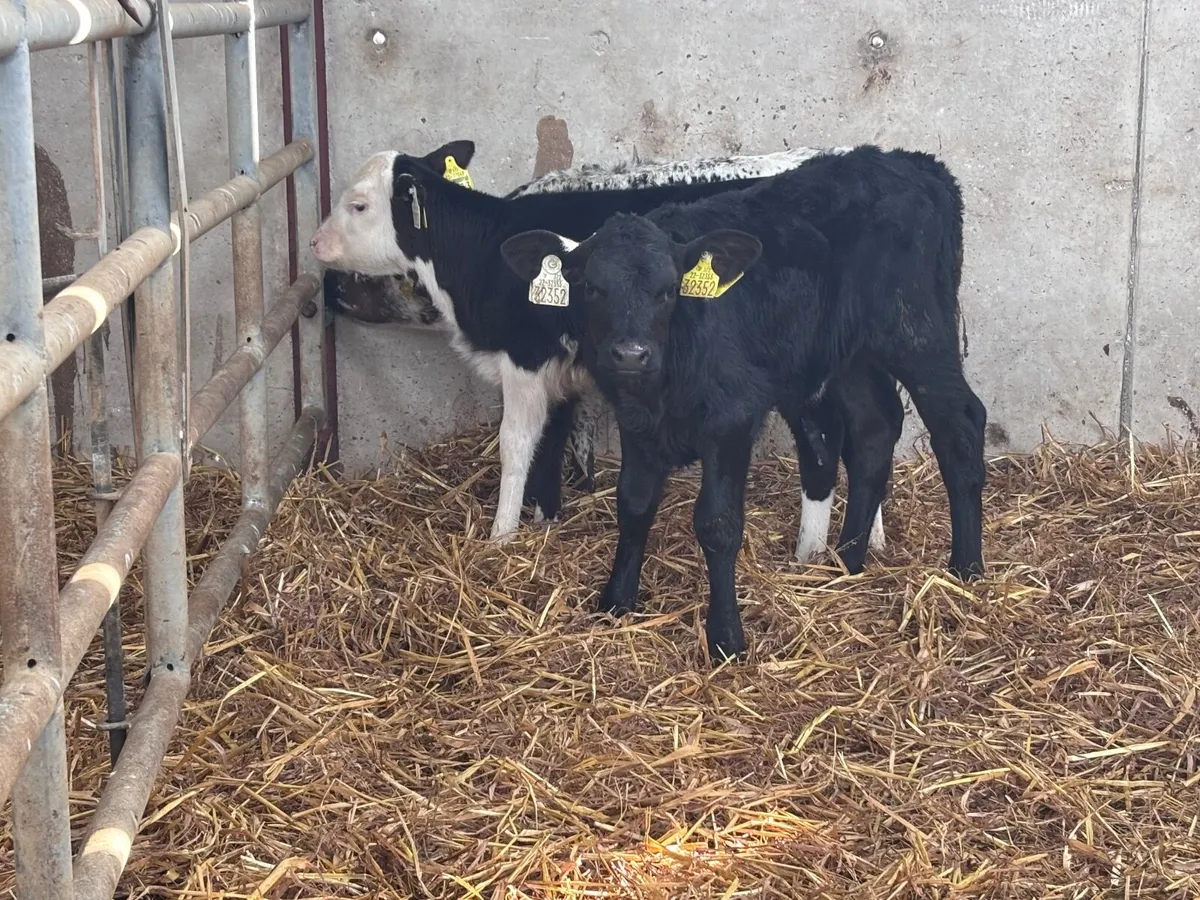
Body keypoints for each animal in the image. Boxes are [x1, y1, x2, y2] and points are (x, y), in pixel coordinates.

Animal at [310, 141, 894, 561]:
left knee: (831, 442)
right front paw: (547, 515)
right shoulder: (560, 368)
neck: (484, 253)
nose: (316, 249)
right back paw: (869, 539)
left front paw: (501, 536)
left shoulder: (525, 360)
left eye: (358, 205)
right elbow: (557, 438)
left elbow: (516, 445)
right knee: (869, 433)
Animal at [499, 145, 985, 661]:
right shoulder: (638, 424)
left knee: (961, 424)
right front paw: (616, 602)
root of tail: (913, 162)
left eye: (668, 290)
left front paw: (726, 638)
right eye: (592, 287)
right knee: (875, 428)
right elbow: (633, 503)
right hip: (849, 353)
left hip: (916, 330)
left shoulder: (731, 419)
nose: (631, 353)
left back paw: (965, 569)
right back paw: (845, 562)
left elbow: (717, 523)